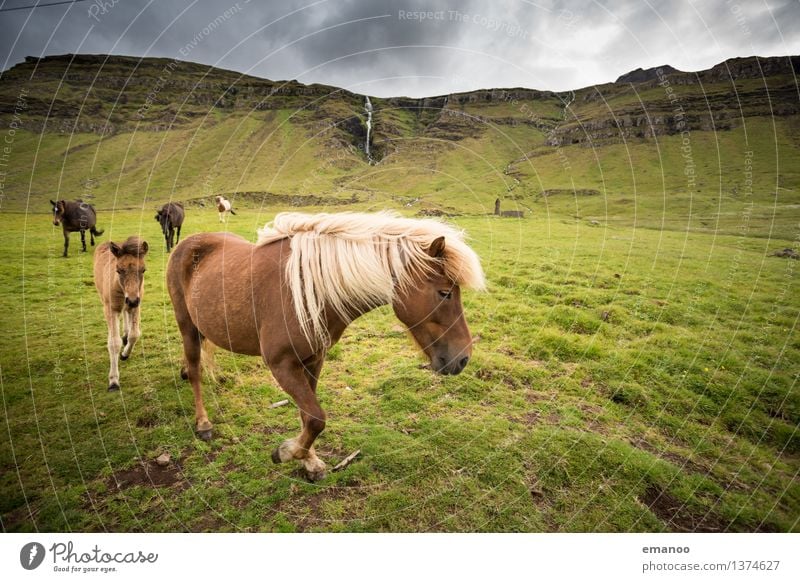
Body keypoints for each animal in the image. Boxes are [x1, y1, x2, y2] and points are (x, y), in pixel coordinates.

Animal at [94, 236, 149, 392]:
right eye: (118, 270)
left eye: (143, 270)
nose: (132, 300)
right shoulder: (111, 309)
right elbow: (113, 342)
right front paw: (113, 381)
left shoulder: (137, 305)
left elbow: (134, 334)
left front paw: (125, 354)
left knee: (126, 314)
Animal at [166, 212, 484, 482]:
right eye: (445, 292)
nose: (463, 359)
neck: (311, 291)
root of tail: (186, 244)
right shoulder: (281, 364)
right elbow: (317, 418)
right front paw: (286, 452)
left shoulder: (314, 359)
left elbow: (308, 416)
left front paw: (308, 461)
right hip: (187, 326)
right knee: (195, 371)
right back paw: (203, 424)